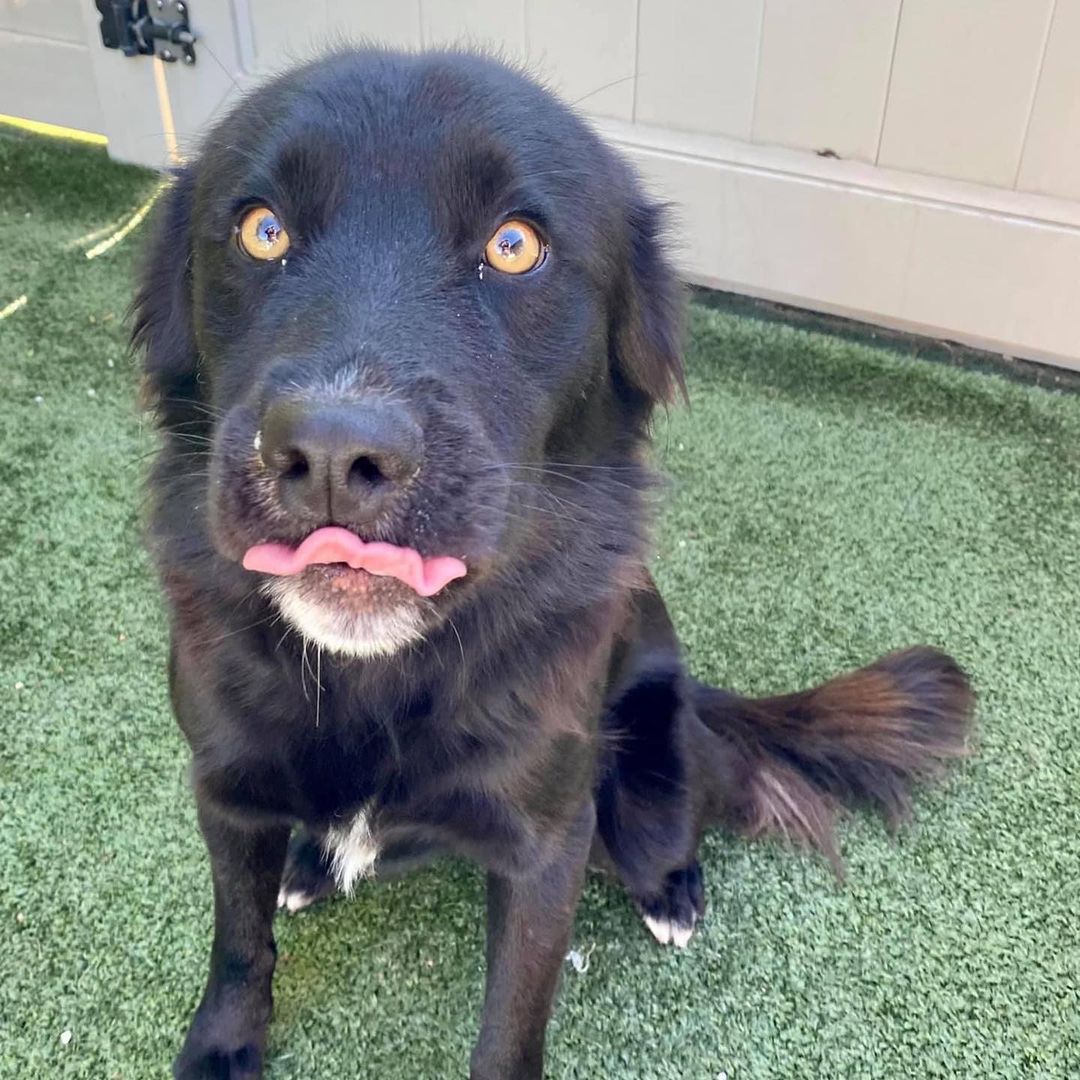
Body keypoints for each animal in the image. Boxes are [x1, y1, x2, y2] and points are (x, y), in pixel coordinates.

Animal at [132, 46, 972, 1075]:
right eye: (261, 230)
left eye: (514, 246)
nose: (331, 453)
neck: (379, 676)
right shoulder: (224, 788)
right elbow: (239, 941)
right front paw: (223, 1044)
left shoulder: (546, 844)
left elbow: (512, 1020)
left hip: (640, 782)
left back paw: (674, 893)